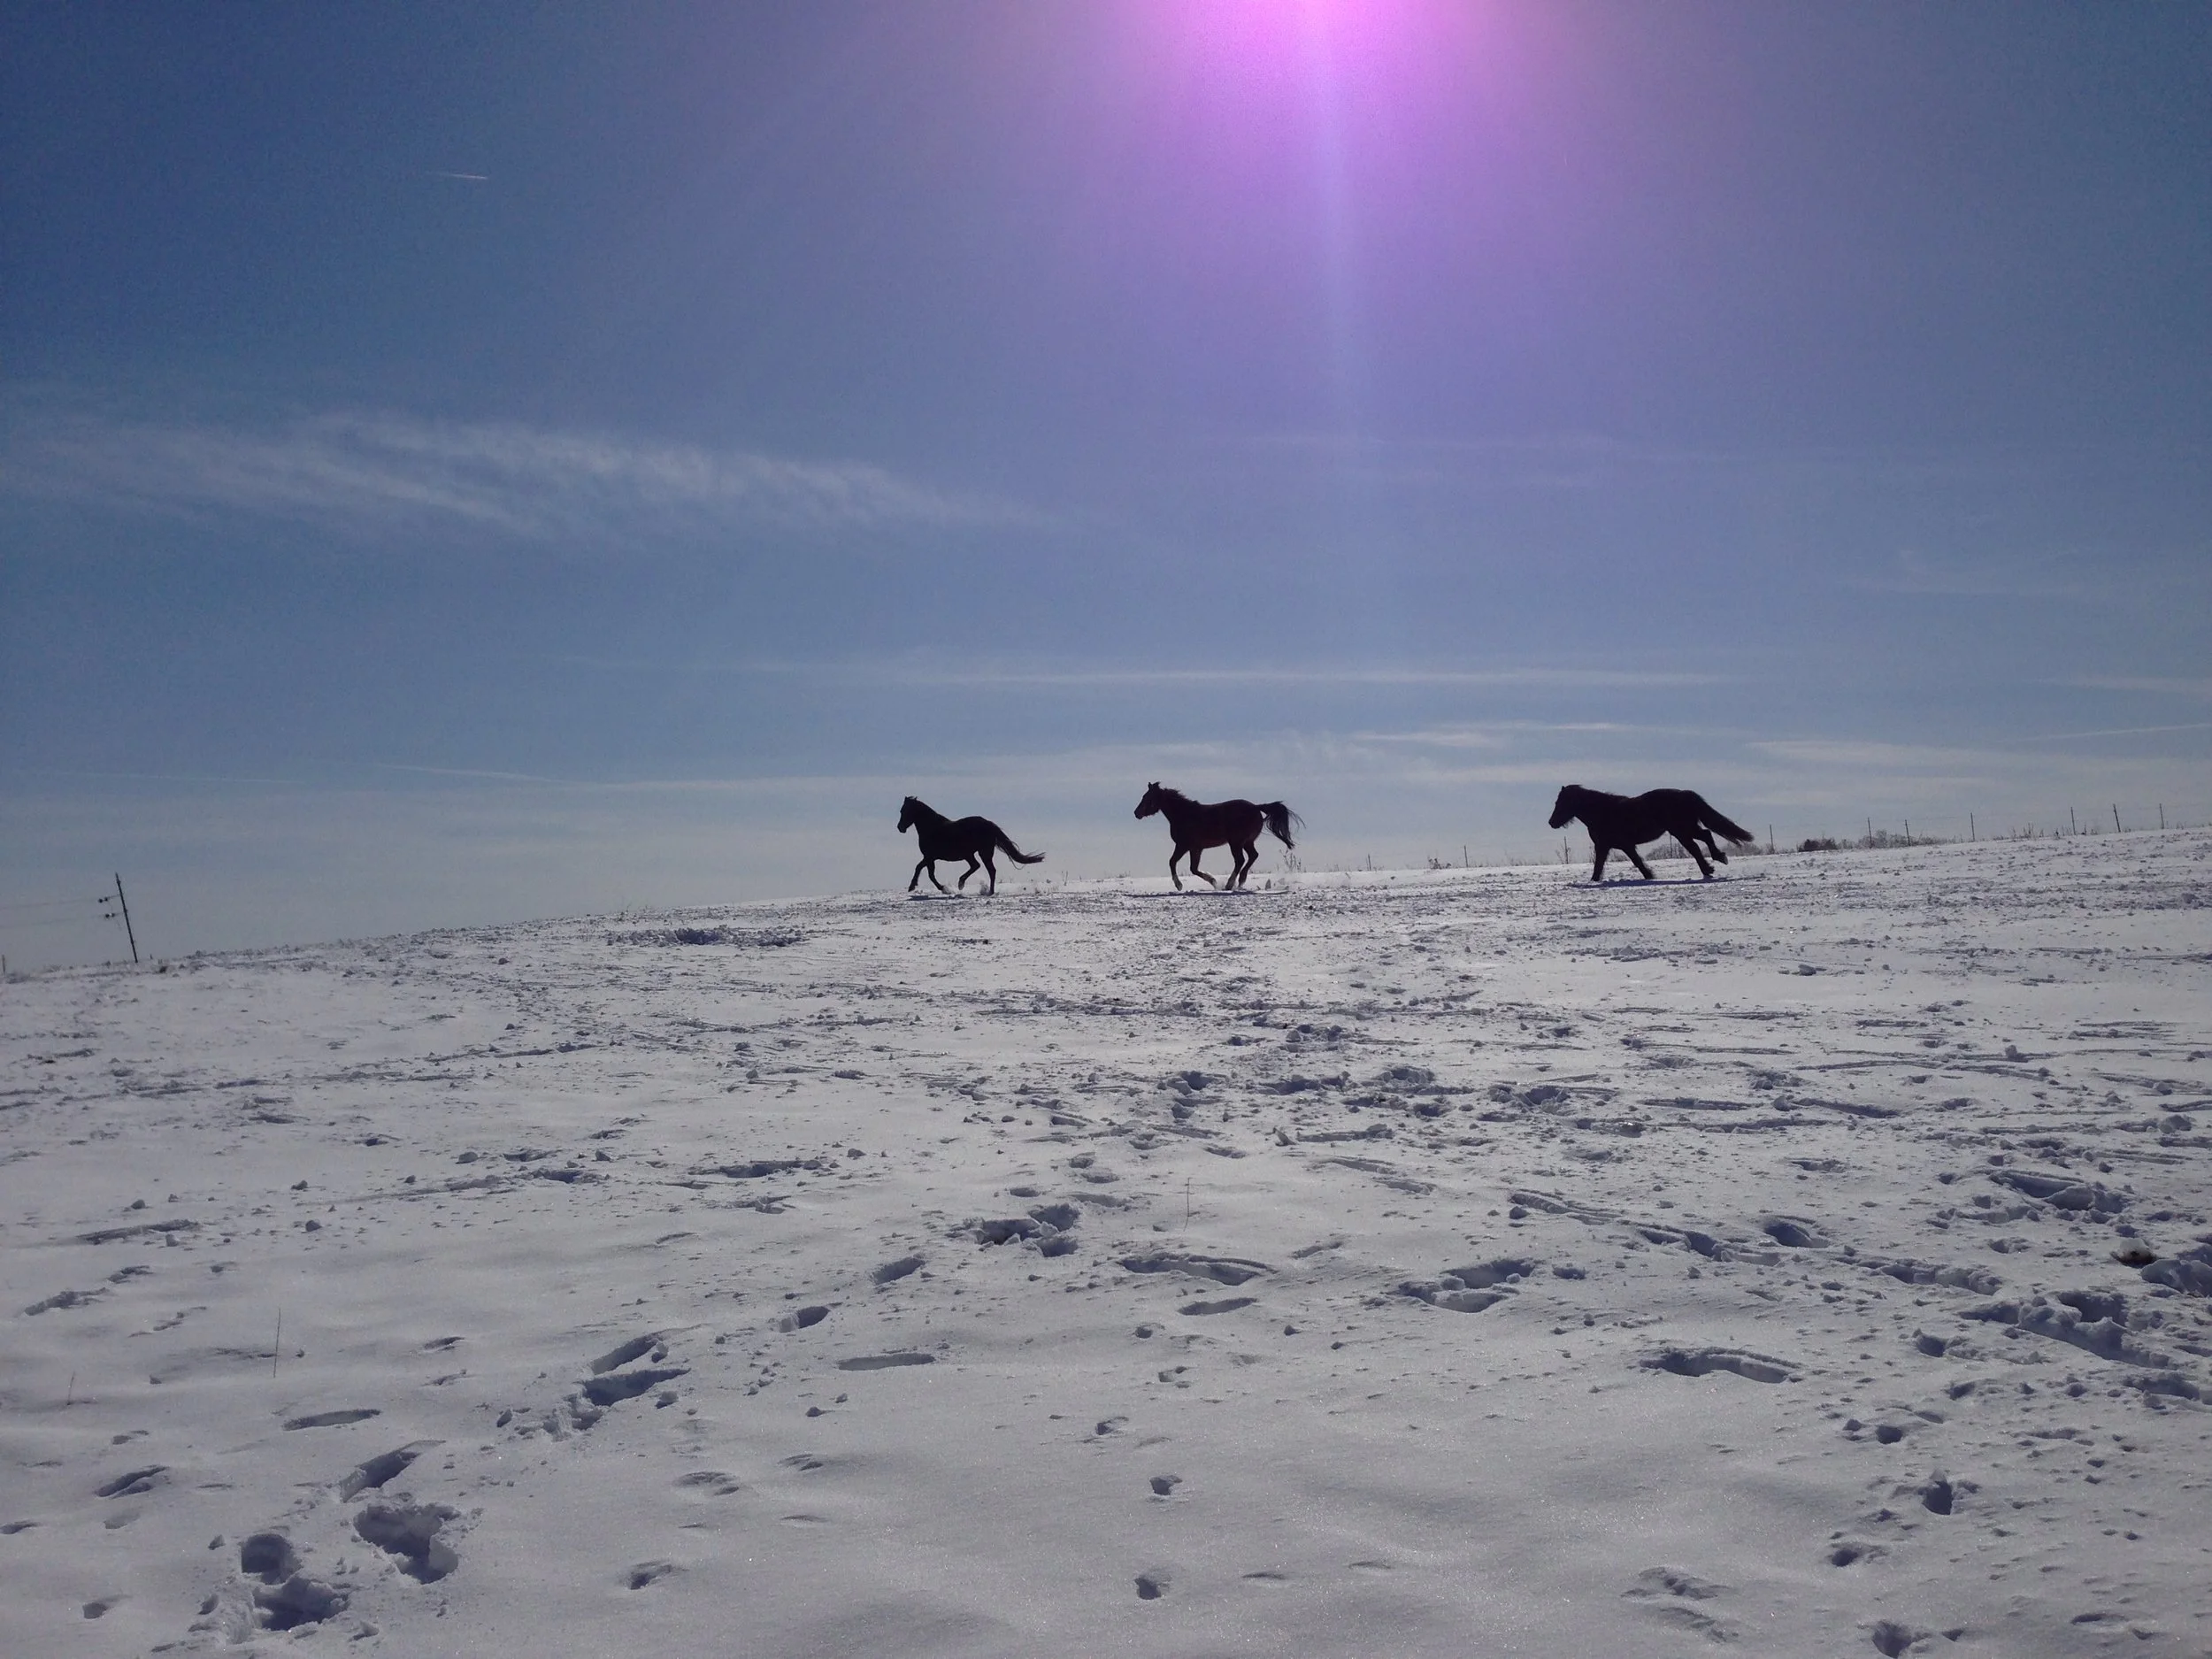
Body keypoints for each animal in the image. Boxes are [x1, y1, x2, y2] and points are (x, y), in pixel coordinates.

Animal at [897, 797, 1043, 897]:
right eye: (901, 810)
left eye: (906, 810)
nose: (900, 828)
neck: (932, 828)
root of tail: (989, 824)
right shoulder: (930, 858)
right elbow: (927, 872)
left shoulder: (929, 857)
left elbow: (923, 870)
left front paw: (918, 887)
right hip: (971, 854)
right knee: (978, 866)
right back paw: (970, 886)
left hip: (982, 853)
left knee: (989, 870)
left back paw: (982, 889)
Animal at [1134, 782, 1302, 890]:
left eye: (1147, 798)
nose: (1136, 813)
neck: (1184, 815)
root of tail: (1256, 807)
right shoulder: (1196, 848)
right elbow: (1193, 868)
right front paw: (1213, 882)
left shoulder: (1183, 846)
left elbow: (1172, 862)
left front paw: (1179, 885)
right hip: (1247, 842)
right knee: (1253, 856)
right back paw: (1240, 881)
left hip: (1236, 843)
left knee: (1240, 860)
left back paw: (1230, 884)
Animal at [1548, 784, 1755, 882]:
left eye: (1561, 803)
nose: (1551, 823)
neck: (1602, 812)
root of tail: (1685, 794)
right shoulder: (1618, 846)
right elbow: (1634, 863)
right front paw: (1650, 876)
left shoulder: (1608, 846)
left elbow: (1602, 866)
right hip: (1684, 829)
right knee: (1704, 838)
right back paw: (1714, 864)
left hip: (1681, 830)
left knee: (1698, 844)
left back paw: (1712, 865)